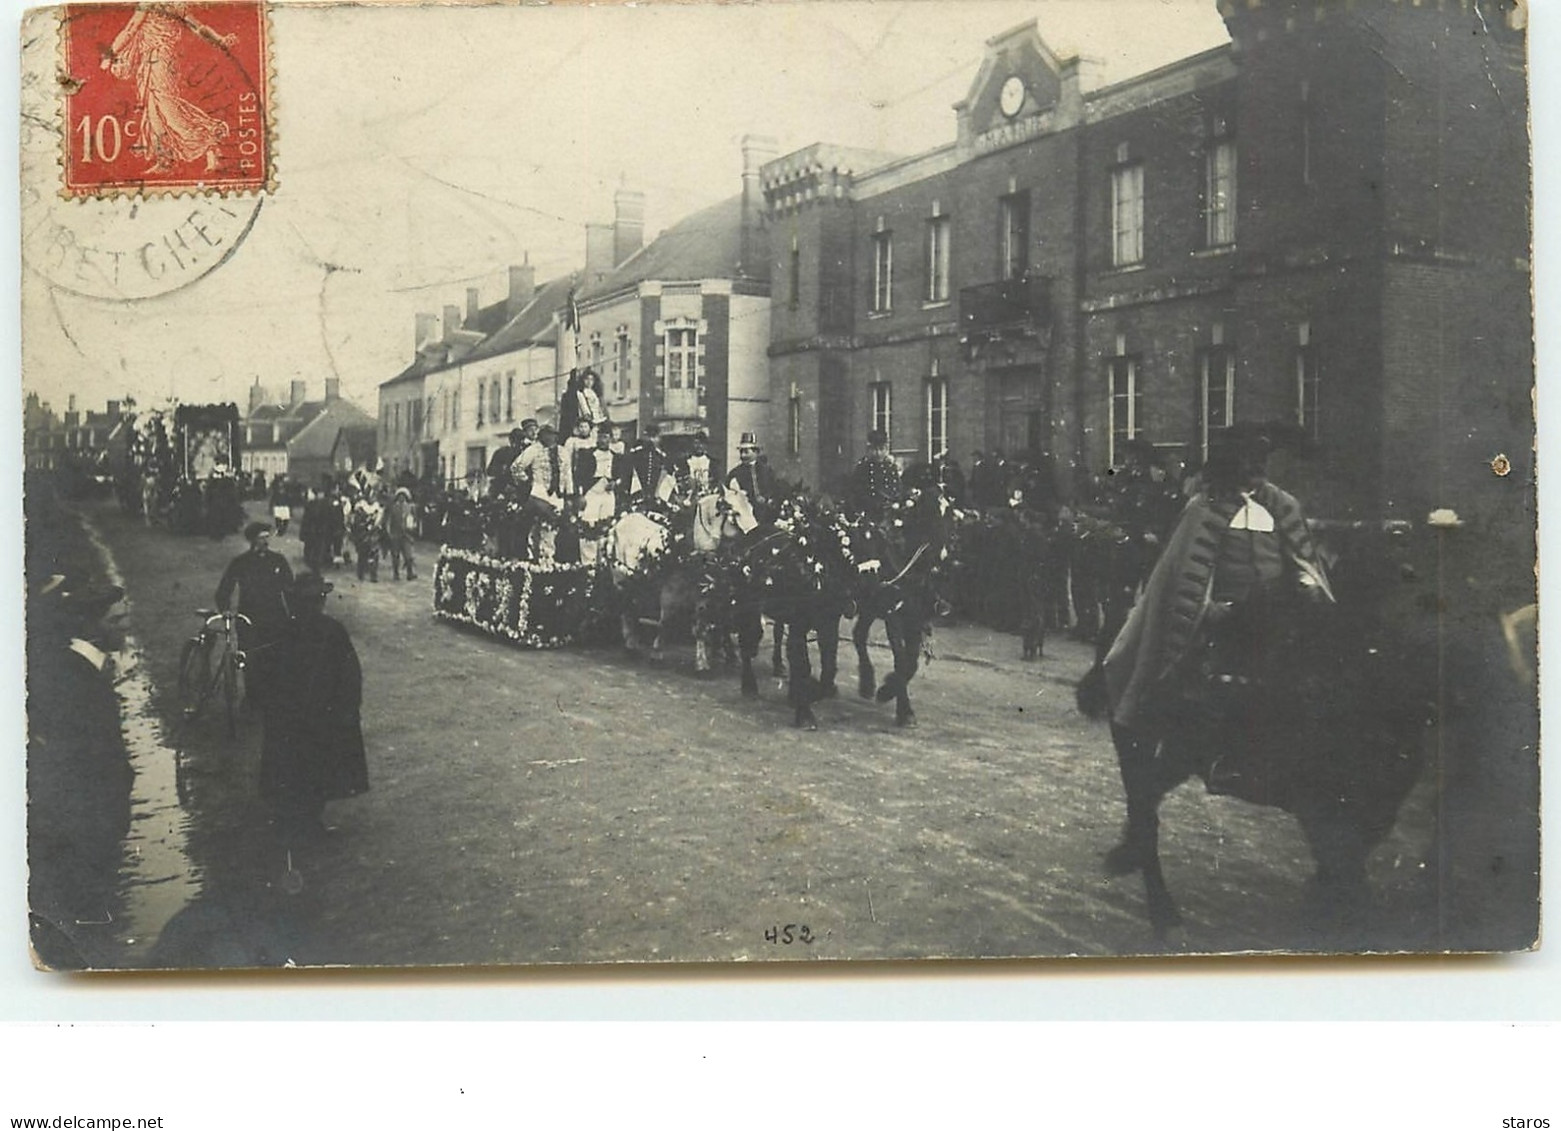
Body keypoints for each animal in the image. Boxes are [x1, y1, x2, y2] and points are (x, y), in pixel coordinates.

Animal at [1080, 524, 1429, 942]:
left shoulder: (1372, 808)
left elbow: (1347, 865)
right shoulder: (1319, 805)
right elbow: (1344, 867)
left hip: (1178, 753)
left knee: (1148, 802)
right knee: (1145, 810)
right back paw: (1160, 907)